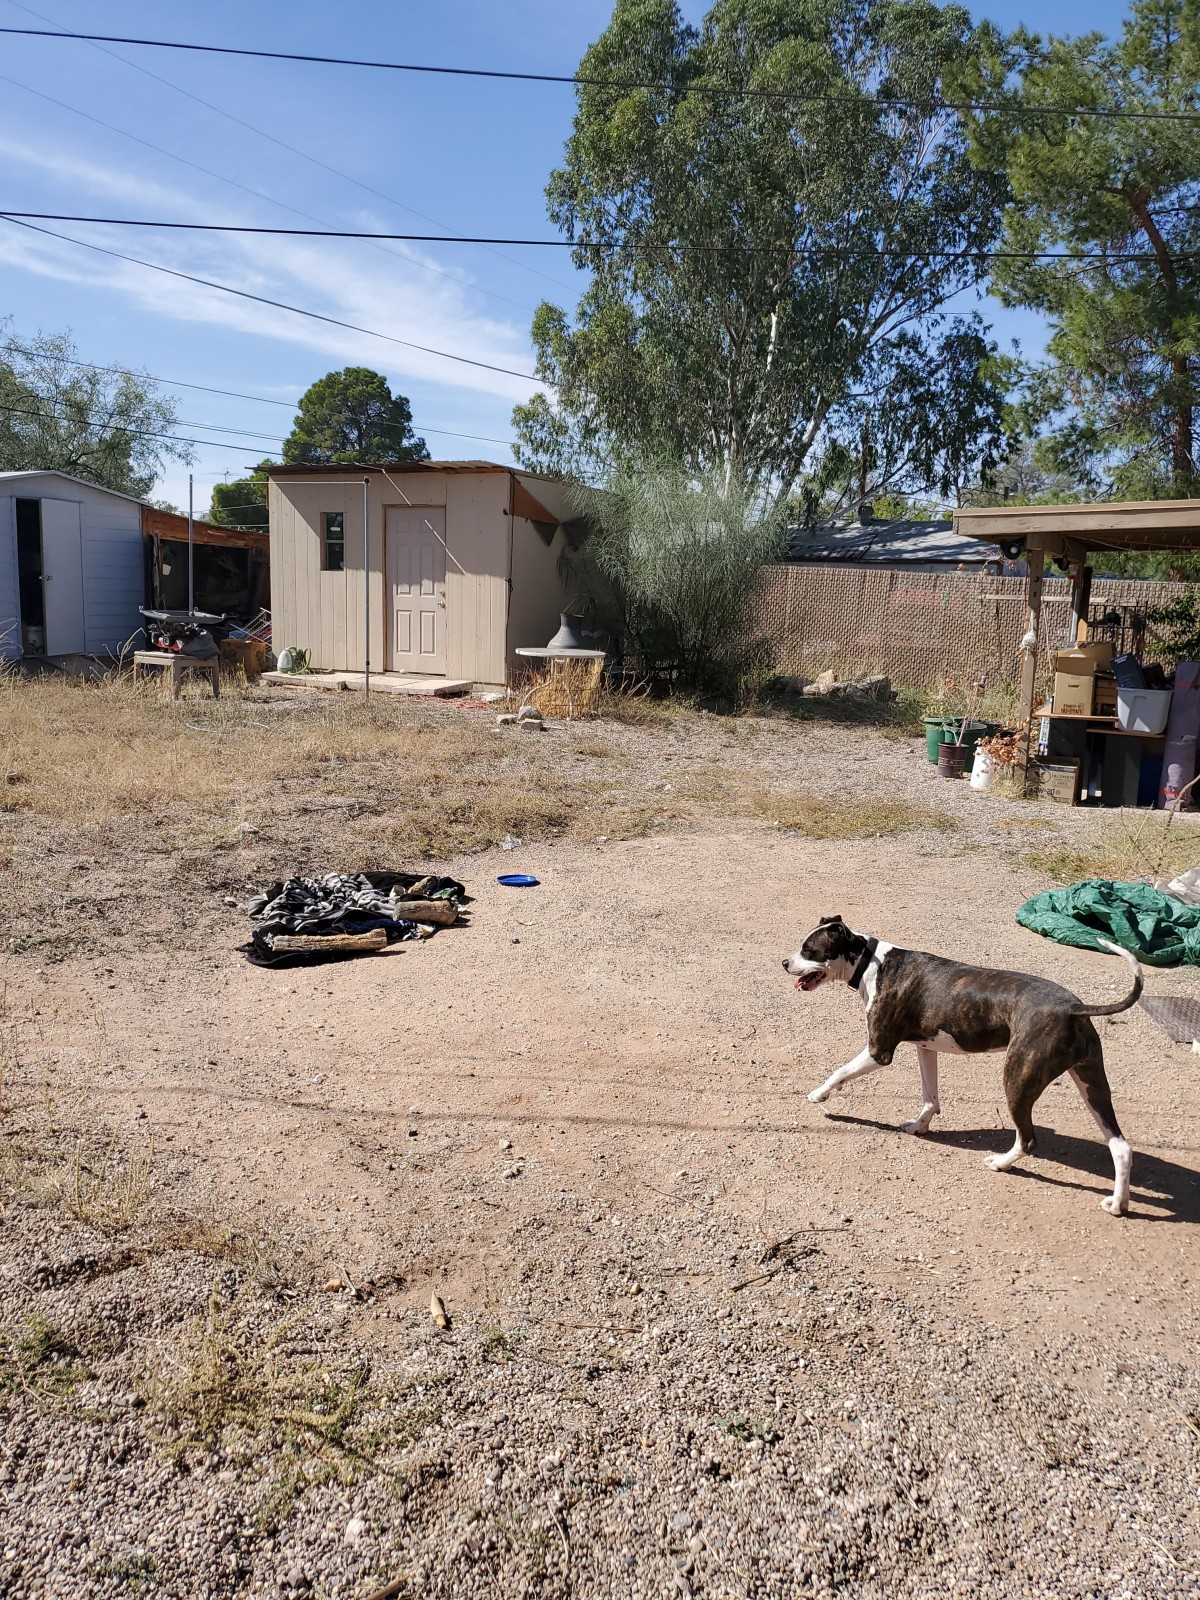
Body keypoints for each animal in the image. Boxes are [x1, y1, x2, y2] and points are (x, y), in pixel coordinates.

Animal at [784, 921, 1139, 1216]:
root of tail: (1073, 1008)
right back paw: (1117, 1204)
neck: (872, 963)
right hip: (1091, 1084)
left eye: (809, 950)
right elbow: (930, 1098)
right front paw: (919, 1126)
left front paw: (819, 1094)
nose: (784, 963)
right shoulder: (926, 1049)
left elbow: (840, 1071)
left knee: (1028, 1140)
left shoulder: (878, 1052)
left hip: (1017, 1080)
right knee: (1120, 1145)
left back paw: (1001, 1162)